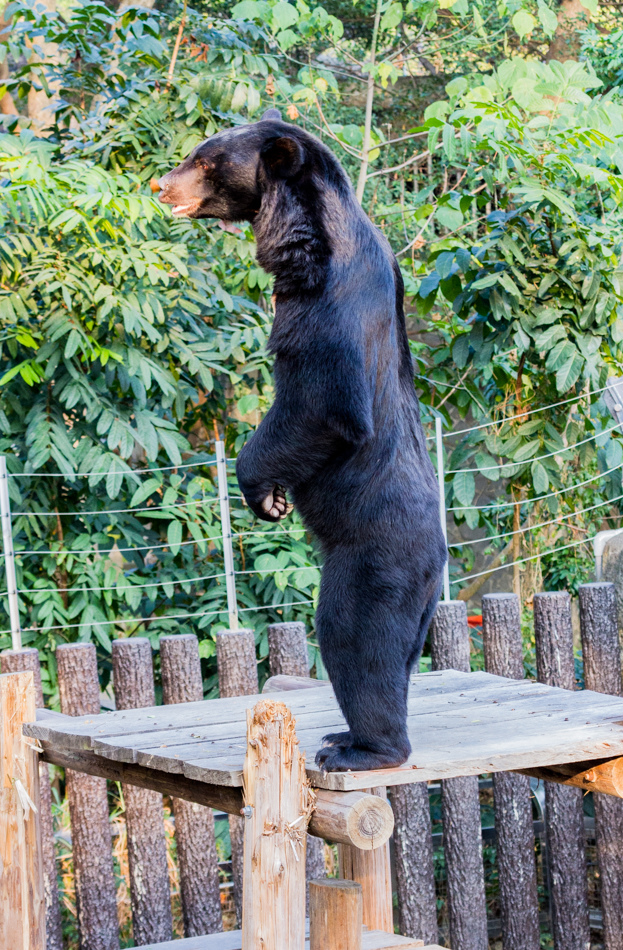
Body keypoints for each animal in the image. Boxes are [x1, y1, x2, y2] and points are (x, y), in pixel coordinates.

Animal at [158, 108, 446, 772]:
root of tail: (438, 558)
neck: (301, 227)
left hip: (375, 557)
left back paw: (361, 748)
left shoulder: (324, 295)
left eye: (204, 160)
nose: (161, 186)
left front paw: (263, 490)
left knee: (354, 637)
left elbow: (323, 405)